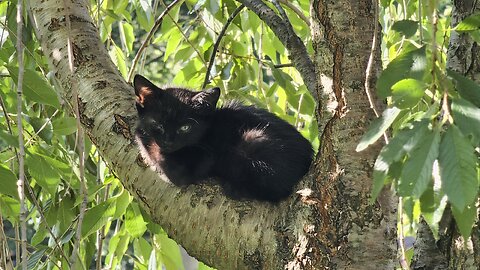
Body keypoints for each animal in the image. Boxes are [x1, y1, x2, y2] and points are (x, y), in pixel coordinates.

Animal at [134, 75, 316, 201]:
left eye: (185, 128)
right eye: (158, 124)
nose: (168, 141)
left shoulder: (191, 165)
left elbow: (156, 152)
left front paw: (139, 131)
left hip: (253, 140)